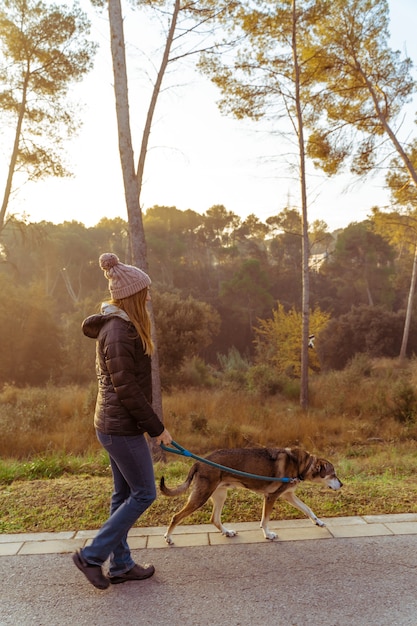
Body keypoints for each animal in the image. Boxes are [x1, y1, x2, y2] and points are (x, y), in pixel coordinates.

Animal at [159, 444, 342, 540]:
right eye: (333, 474)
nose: (341, 484)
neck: (301, 464)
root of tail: (199, 462)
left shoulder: (288, 495)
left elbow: (308, 509)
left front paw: (318, 522)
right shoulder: (271, 497)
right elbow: (265, 520)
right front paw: (268, 534)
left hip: (220, 495)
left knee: (214, 519)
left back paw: (227, 532)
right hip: (201, 497)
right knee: (176, 516)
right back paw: (168, 537)